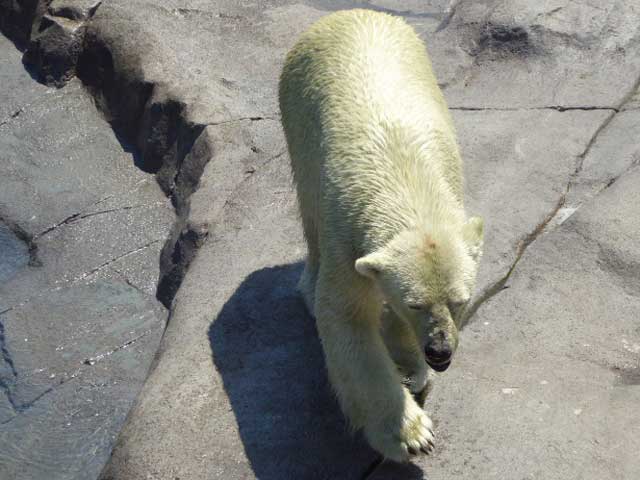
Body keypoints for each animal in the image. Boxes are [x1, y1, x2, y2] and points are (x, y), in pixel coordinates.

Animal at [278, 10, 482, 462]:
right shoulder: (348, 235)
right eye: (416, 303)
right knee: (310, 219)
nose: (440, 351)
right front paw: (410, 433)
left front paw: (412, 366)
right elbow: (347, 320)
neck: (405, 179)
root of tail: (348, 13)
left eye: (460, 300)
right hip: (298, 123)